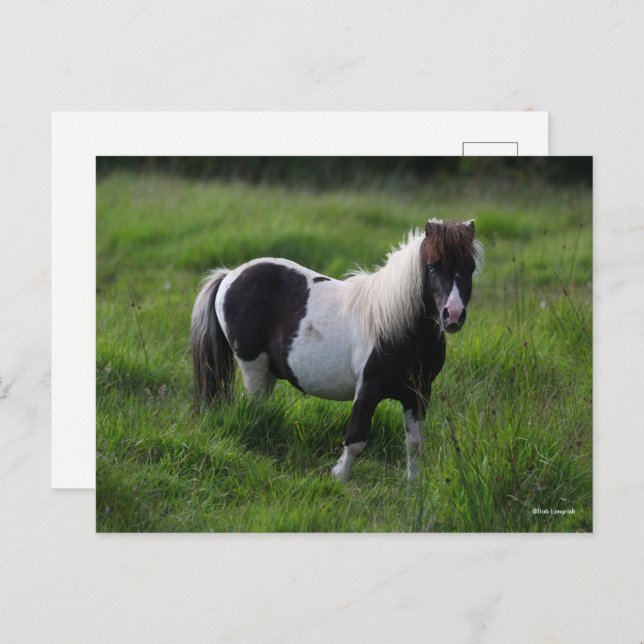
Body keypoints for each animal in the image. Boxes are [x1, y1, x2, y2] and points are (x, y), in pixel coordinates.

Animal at [191, 218, 482, 482]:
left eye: (471, 267)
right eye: (432, 266)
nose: (453, 315)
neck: (397, 327)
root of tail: (230, 274)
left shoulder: (418, 394)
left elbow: (414, 444)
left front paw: (414, 485)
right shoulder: (368, 389)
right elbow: (356, 439)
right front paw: (339, 479)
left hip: (267, 373)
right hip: (253, 367)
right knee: (252, 410)